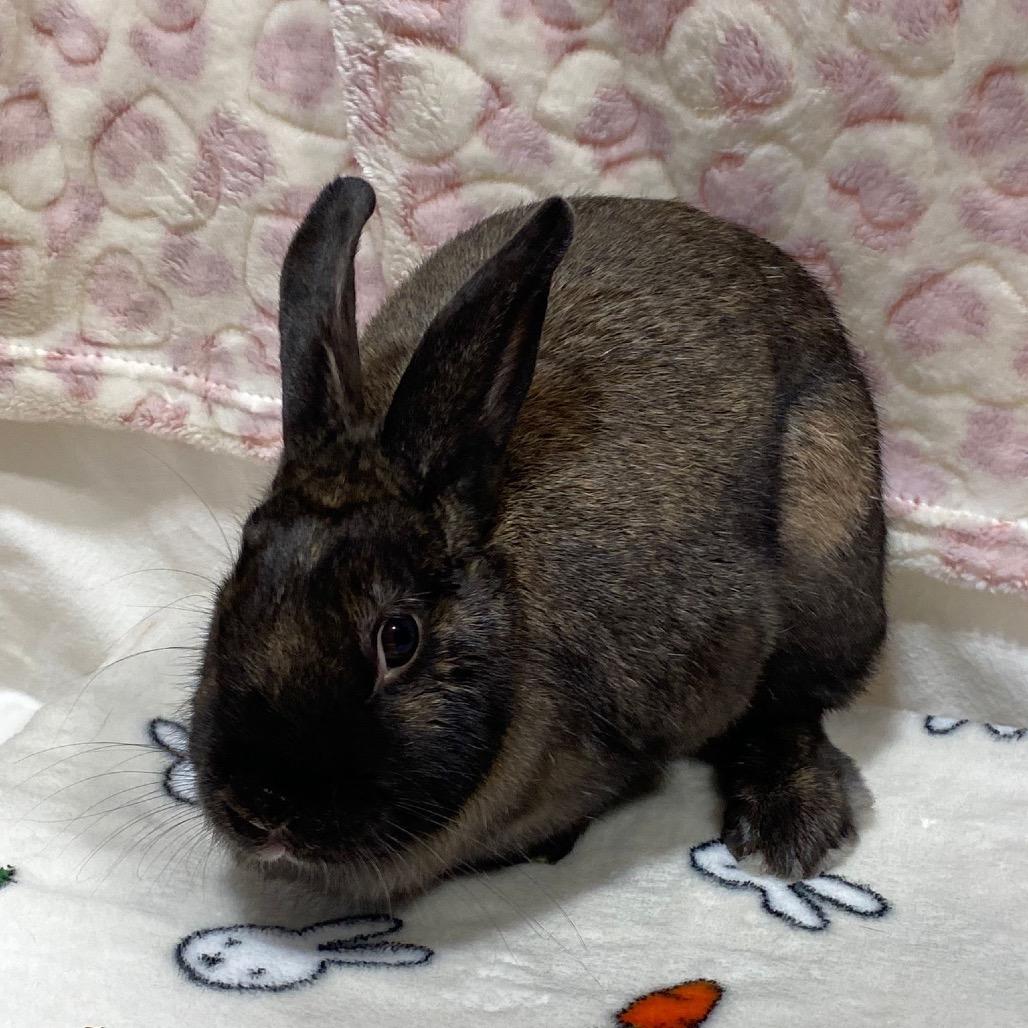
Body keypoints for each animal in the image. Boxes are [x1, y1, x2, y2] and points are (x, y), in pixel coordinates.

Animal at [188, 176, 886, 900]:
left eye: (398, 638)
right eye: (230, 598)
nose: (262, 808)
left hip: (827, 542)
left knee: (795, 705)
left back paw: (789, 827)